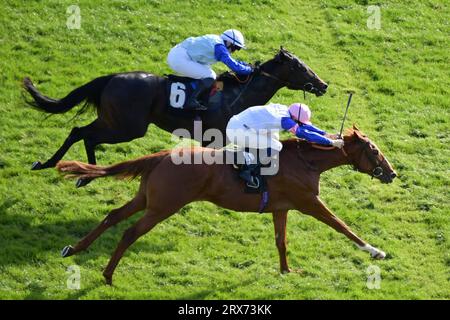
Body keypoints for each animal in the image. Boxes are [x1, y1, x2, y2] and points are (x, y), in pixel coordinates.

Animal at [23, 47, 326, 188]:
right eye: (300, 67)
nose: (322, 85)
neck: (238, 93)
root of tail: (112, 77)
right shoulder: (216, 139)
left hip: (114, 120)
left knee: (79, 131)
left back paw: (62, 168)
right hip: (127, 127)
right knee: (86, 135)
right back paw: (80, 172)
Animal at [56, 126, 398, 284]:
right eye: (374, 151)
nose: (392, 173)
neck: (306, 161)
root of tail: (161, 156)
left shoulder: (281, 207)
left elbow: (281, 241)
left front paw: (286, 270)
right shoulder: (309, 202)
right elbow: (342, 226)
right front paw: (375, 251)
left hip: (146, 198)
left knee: (113, 216)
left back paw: (74, 249)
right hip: (163, 206)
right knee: (129, 232)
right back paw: (107, 274)